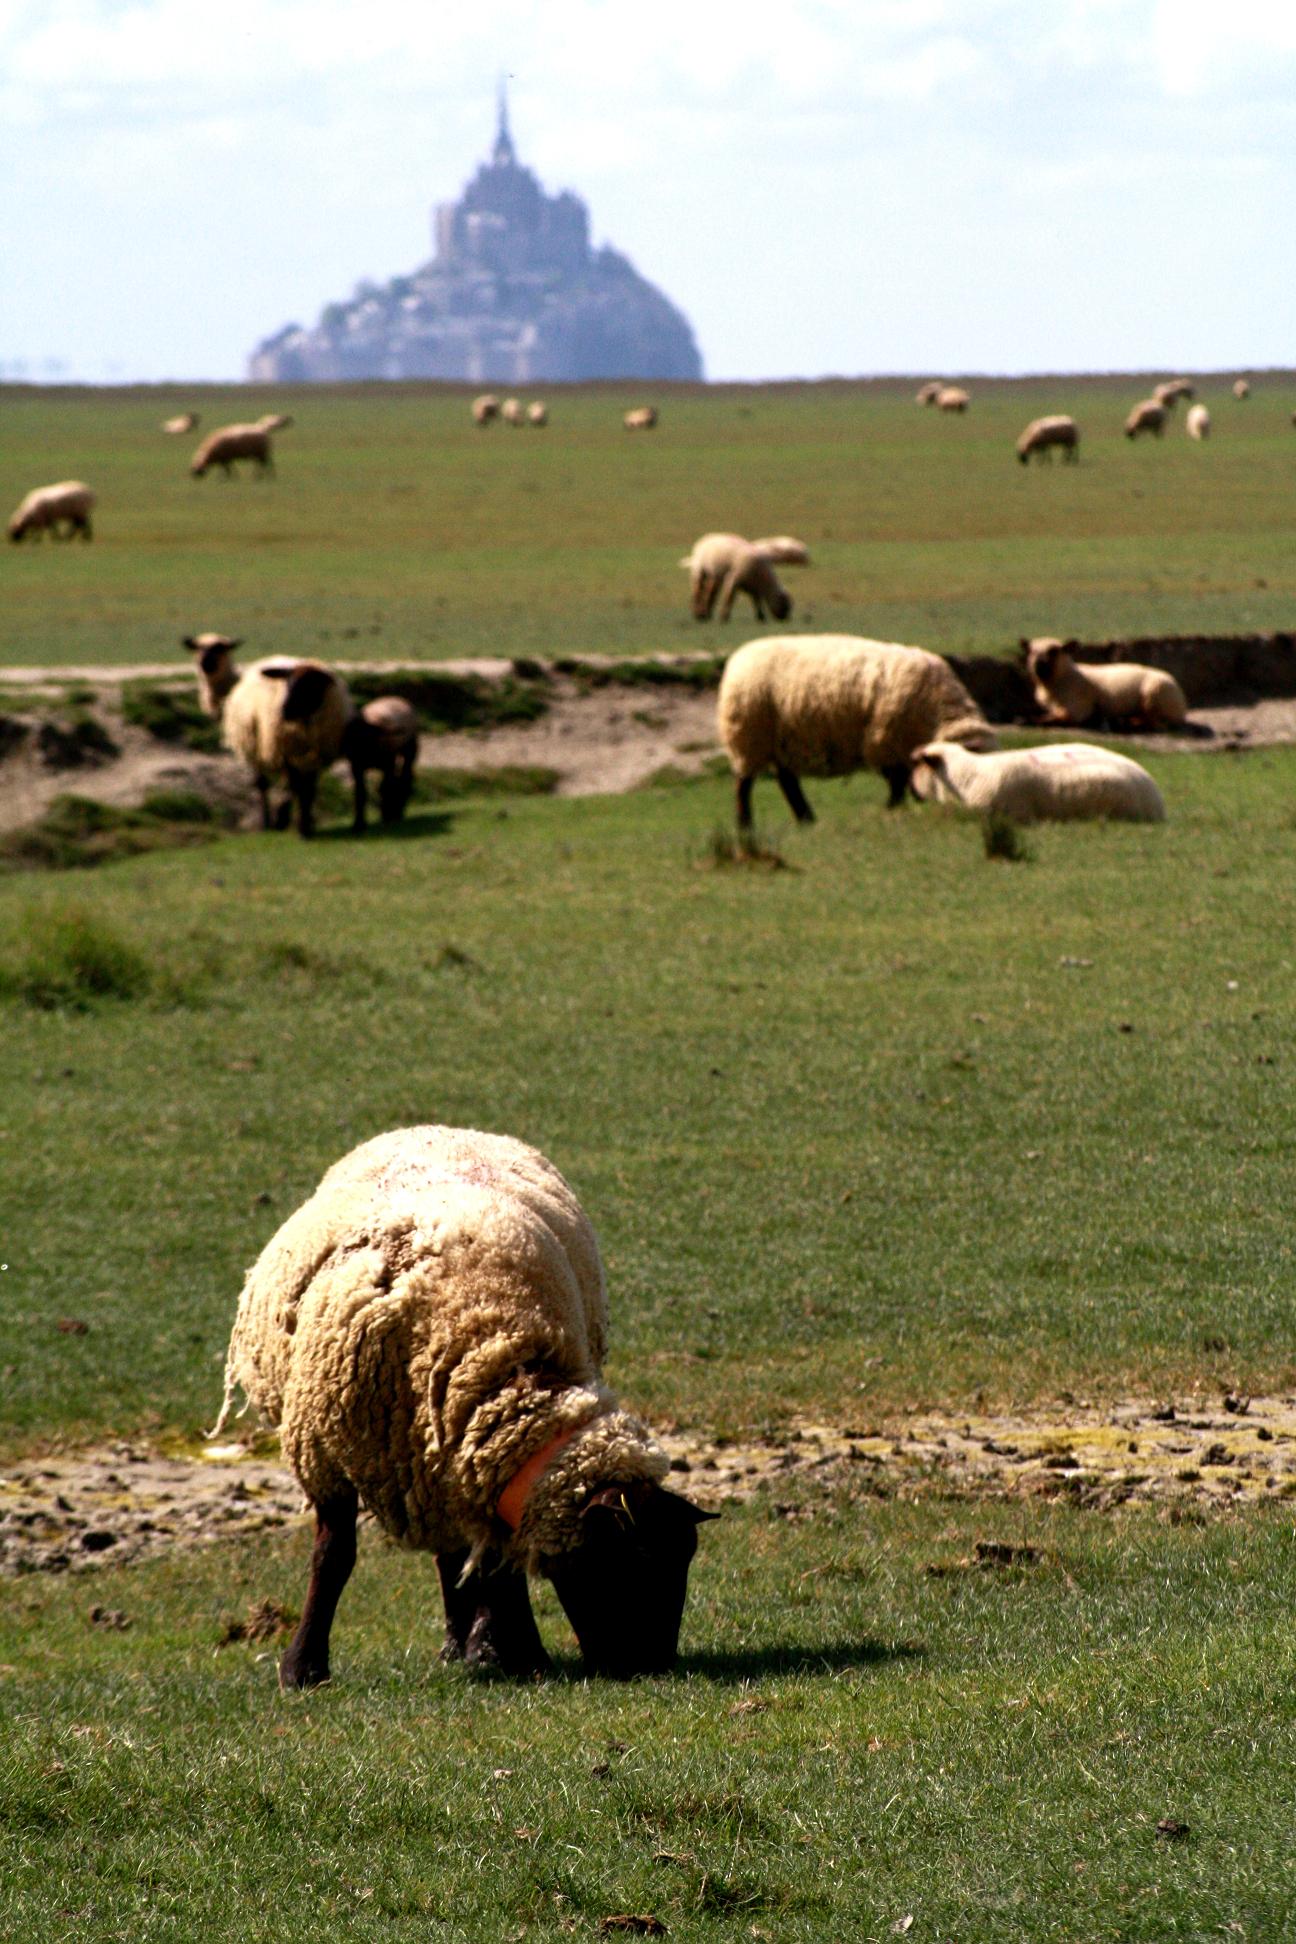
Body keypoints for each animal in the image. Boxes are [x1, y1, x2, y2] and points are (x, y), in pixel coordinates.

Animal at [213, 1127, 718, 1687]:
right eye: (635, 1558)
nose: (655, 1665)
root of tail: (432, 1127)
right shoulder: (324, 1455)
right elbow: (333, 1555)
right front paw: (302, 1667)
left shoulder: (474, 1461)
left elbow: (499, 1560)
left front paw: (513, 1651)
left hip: (434, 1460)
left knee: (453, 1552)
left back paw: (464, 1642)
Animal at [715, 633, 1002, 824]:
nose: (980, 809)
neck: (937, 710)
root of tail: (739, 658)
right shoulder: (884, 743)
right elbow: (897, 782)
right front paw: (893, 808)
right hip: (749, 737)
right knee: (744, 785)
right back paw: (745, 824)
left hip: (782, 743)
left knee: (787, 782)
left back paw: (806, 819)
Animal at [1025, 641, 1196, 730]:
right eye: (1031, 651)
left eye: (1054, 651)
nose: (1038, 665)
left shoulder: (1078, 708)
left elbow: (1061, 717)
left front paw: (1029, 720)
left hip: (1153, 696)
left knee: (1156, 724)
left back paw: (1125, 723)